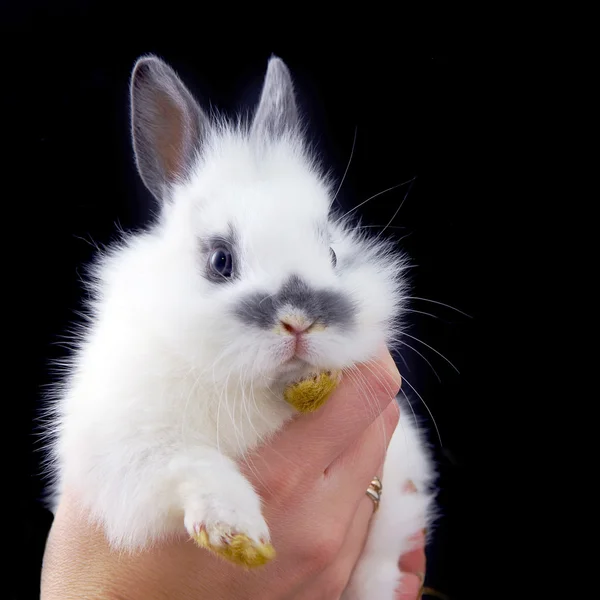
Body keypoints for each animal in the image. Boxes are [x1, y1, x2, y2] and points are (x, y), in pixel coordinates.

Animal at [44, 54, 434, 596]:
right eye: (220, 261)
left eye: (333, 254)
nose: (299, 321)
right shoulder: (125, 450)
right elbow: (191, 464)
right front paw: (239, 536)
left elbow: (375, 567)